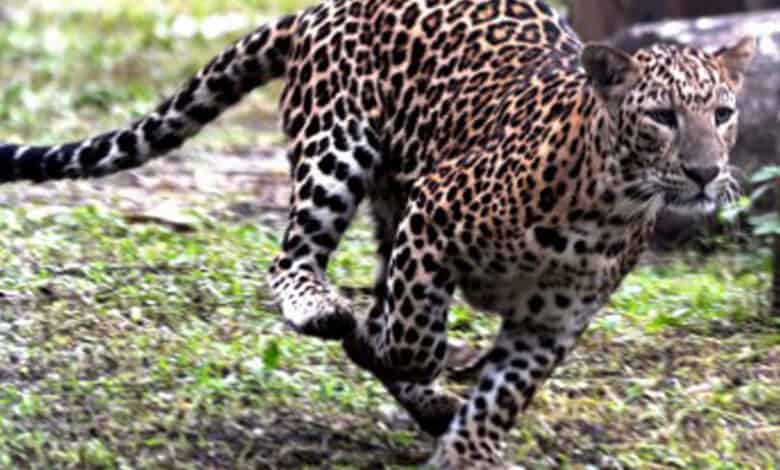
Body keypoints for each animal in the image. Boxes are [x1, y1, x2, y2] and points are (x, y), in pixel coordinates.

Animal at [0, 0, 755, 468]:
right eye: (660, 116)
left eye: (722, 114)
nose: (704, 172)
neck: (609, 207)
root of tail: (320, 9)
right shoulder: (436, 211)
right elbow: (414, 335)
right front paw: (389, 346)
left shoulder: (553, 321)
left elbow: (503, 392)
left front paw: (466, 451)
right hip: (338, 150)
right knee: (293, 261)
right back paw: (328, 313)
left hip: (387, 197)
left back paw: (425, 398)